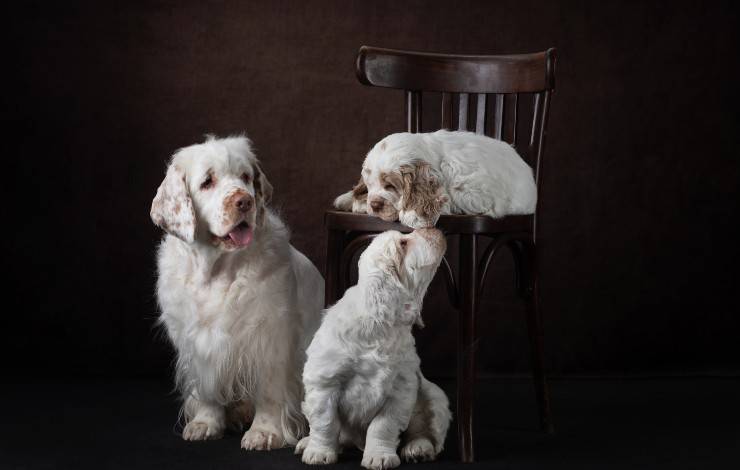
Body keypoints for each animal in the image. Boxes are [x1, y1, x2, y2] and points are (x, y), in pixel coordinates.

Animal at [150, 134, 324, 450]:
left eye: (245, 177)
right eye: (207, 182)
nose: (245, 201)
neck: (216, 270)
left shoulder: (270, 339)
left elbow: (270, 391)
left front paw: (265, 432)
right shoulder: (197, 343)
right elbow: (207, 389)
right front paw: (206, 423)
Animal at [296, 229, 450, 470]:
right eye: (403, 243)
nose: (435, 230)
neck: (380, 326)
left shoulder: (400, 389)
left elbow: (383, 426)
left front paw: (380, 456)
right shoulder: (325, 383)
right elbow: (325, 423)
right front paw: (319, 453)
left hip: (434, 397)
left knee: (426, 432)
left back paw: (418, 449)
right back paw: (307, 442)